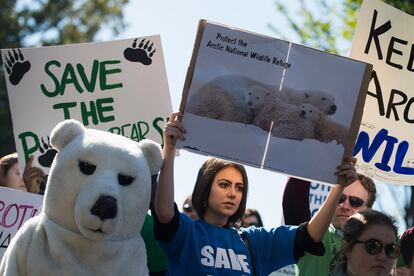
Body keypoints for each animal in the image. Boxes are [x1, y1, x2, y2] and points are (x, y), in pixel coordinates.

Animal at [0, 120, 162, 276]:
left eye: (126, 179)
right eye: (86, 166)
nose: (105, 206)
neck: (87, 244)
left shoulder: (136, 256)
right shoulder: (26, 240)